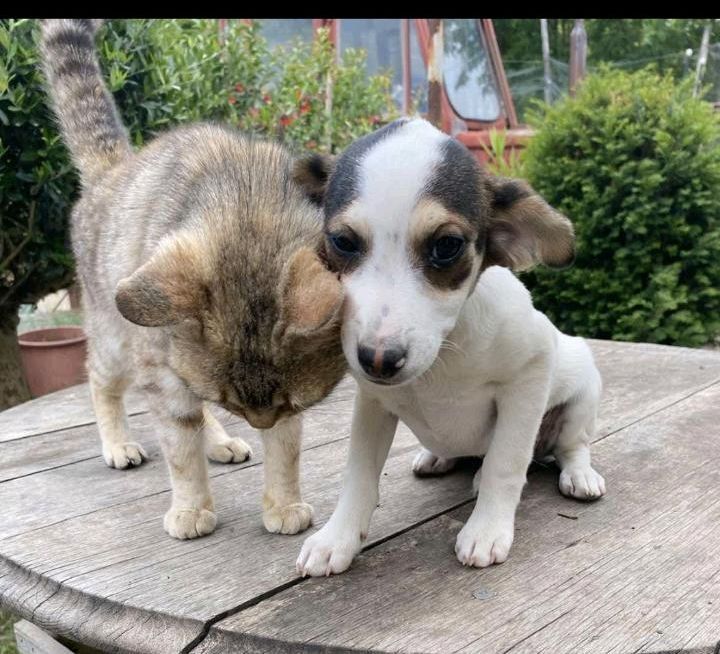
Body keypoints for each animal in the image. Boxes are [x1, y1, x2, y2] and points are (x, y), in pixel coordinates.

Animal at [290, 119, 604, 580]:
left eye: (447, 246)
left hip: (582, 393)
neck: (443, 357)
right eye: (343, 242)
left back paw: (578, 475)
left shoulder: (529, 374)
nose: (377, 361)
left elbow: (506, 463)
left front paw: (487, 528)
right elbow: (359, 476)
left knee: (570, 446)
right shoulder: (373, 403)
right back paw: (438, 458)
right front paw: (338, 538)